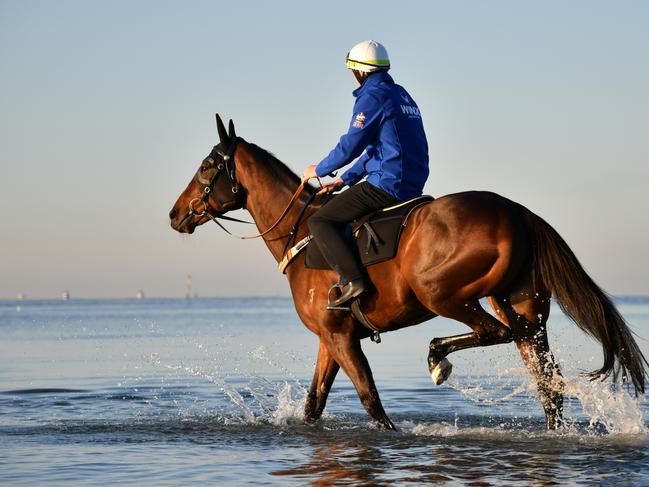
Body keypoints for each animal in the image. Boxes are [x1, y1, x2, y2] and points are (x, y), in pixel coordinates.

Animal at [170, 116, 644, 432]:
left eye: (207, 167)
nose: (175, 214)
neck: (301, 234)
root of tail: (515, 211)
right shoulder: (330, 339)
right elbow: (314, 404)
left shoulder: (340, 338)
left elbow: (372, 403)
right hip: (524, 310)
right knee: (547, 384)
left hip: (443, 294)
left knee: (495, 333)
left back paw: (438, 359)